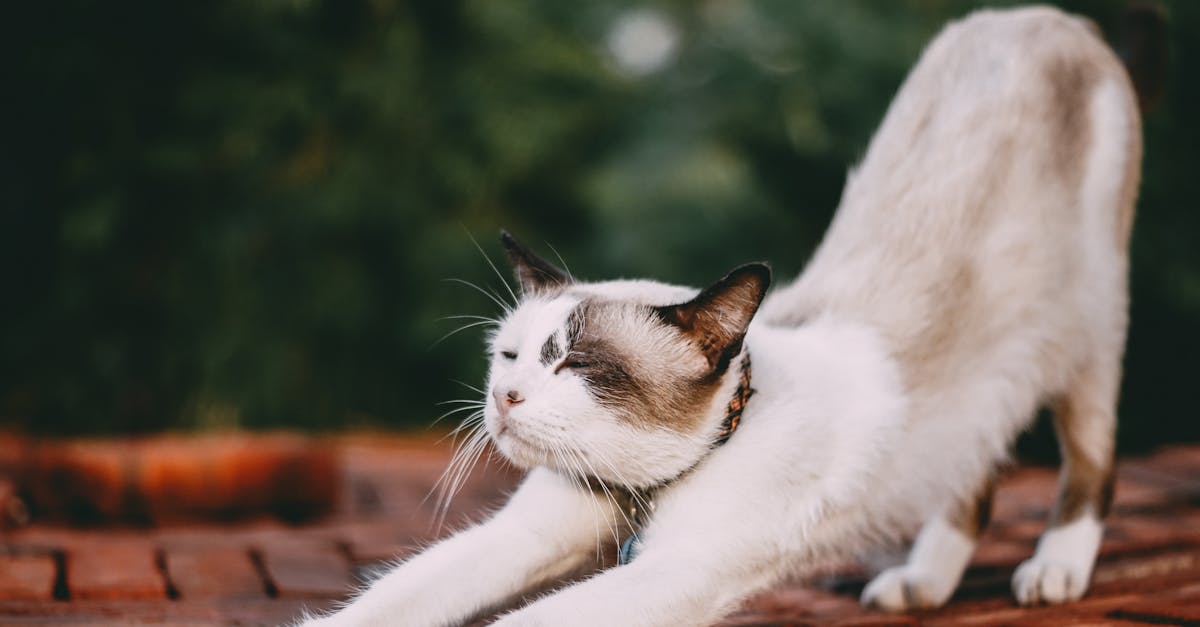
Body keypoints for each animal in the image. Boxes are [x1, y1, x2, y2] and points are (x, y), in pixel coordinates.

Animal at [297, 6, 1152, 624]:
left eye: (574, 363)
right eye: (509, 359)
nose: (504, 400)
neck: (642, 490)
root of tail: (1040, 17)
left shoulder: (678, 571)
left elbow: (522, 621)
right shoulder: (524, 535)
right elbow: (385, 600)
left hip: (1083, 339)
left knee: (1091, 460)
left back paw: (1054, 570)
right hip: (991, 393)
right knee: (973, 469)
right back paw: (921, 584)